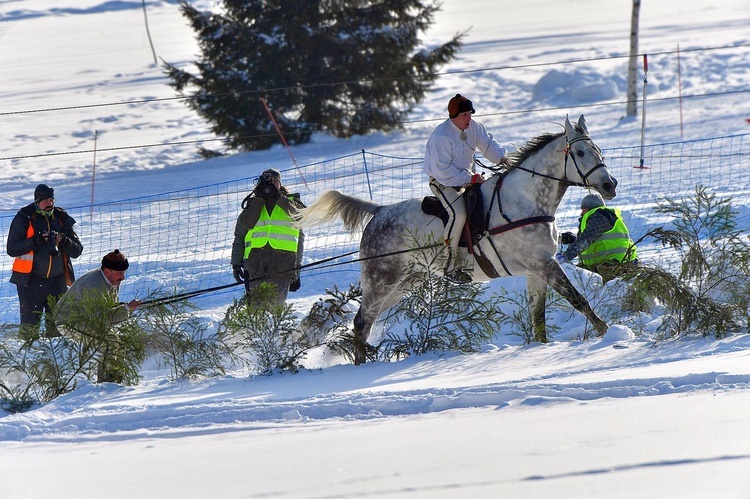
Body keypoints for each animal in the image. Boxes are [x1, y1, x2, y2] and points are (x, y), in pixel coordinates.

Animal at [302, 114, 620, 364]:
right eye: (580, 153)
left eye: (598, 150)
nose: (610, 185)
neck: (526, 200)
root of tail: (379, 212)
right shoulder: (544, 264)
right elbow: (578, 299)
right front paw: (607, 332)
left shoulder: (536, 270)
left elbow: (538, 317)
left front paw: (542, 348)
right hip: (382, 281)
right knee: (361, 321)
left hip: (403, 283)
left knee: (366, 323)